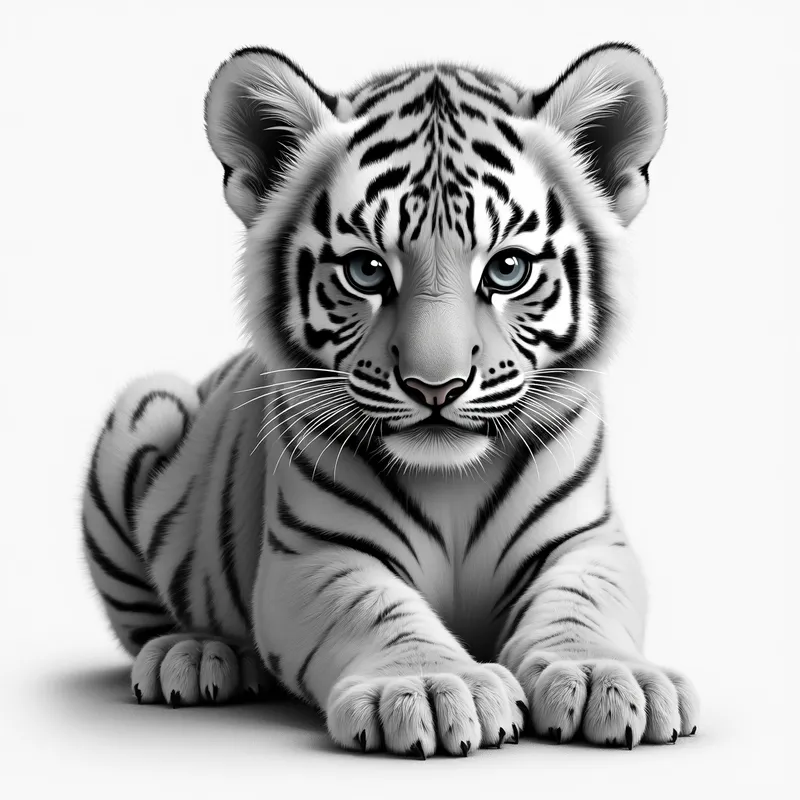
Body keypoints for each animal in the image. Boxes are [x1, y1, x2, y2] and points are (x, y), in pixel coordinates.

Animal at [81, 41, 699, 757]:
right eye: (367, 270)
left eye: (508, 269)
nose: (437, 387)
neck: (452, 480)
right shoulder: (317, 555)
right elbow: (372, 609)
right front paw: (429, 688)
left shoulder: (587, 542)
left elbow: (583, 603)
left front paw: (607, 676)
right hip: (147, 405)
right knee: (145, 625)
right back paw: (199, 653)